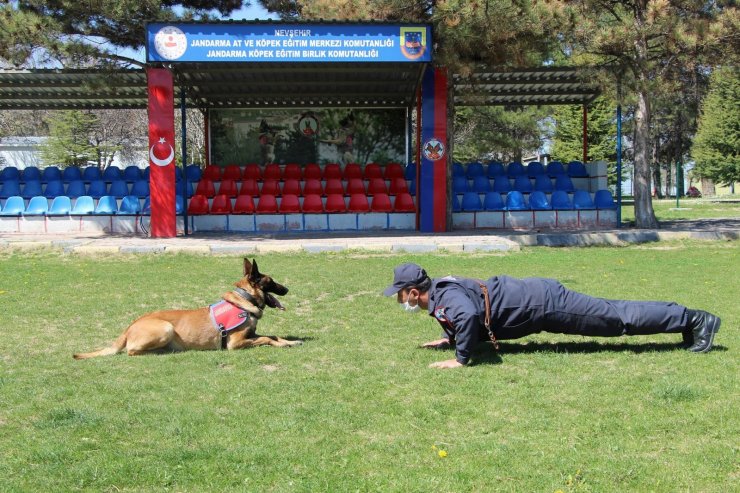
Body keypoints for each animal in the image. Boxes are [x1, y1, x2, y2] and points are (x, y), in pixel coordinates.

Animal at [74, 258, 300, 358]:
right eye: (271, 281)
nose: (287, 289)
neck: (244, 300)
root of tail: (130, 326)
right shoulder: (235, 343)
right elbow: (266, 339)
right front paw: (282, 344)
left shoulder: (250, 334)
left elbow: (272, 335)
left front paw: (290, 341)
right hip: (165, 329)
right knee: (131, 351)